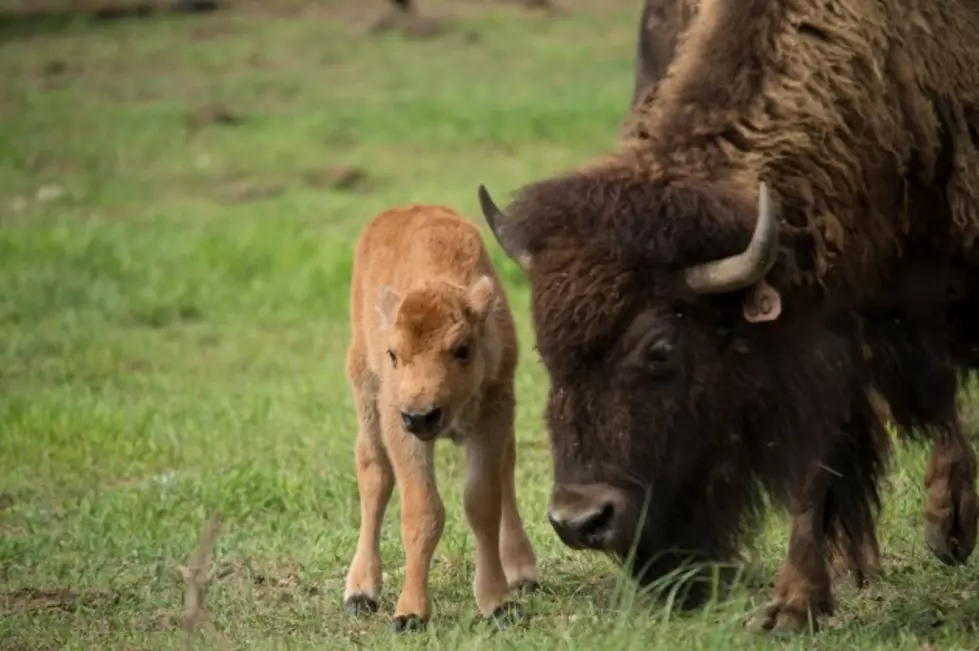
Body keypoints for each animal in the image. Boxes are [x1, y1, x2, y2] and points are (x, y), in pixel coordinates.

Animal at [340, 202, 540, 632]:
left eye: (462, 349)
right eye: (393, 354)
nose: (421, 416)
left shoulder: (494, 414)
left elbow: (483, 503)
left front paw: (499, 603)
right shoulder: (399, 426)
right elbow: (423, 511)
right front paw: (410, 613)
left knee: (508, 470)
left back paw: (522, 570)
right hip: (365, 393)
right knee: (374, 473)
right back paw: (360, 591)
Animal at [478, 0, 979, 636]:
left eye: (661, 349)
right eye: (546, 351)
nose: (580, 520)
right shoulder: (825, 333)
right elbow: (816, 463)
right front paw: (794, 606)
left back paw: (947, 529)